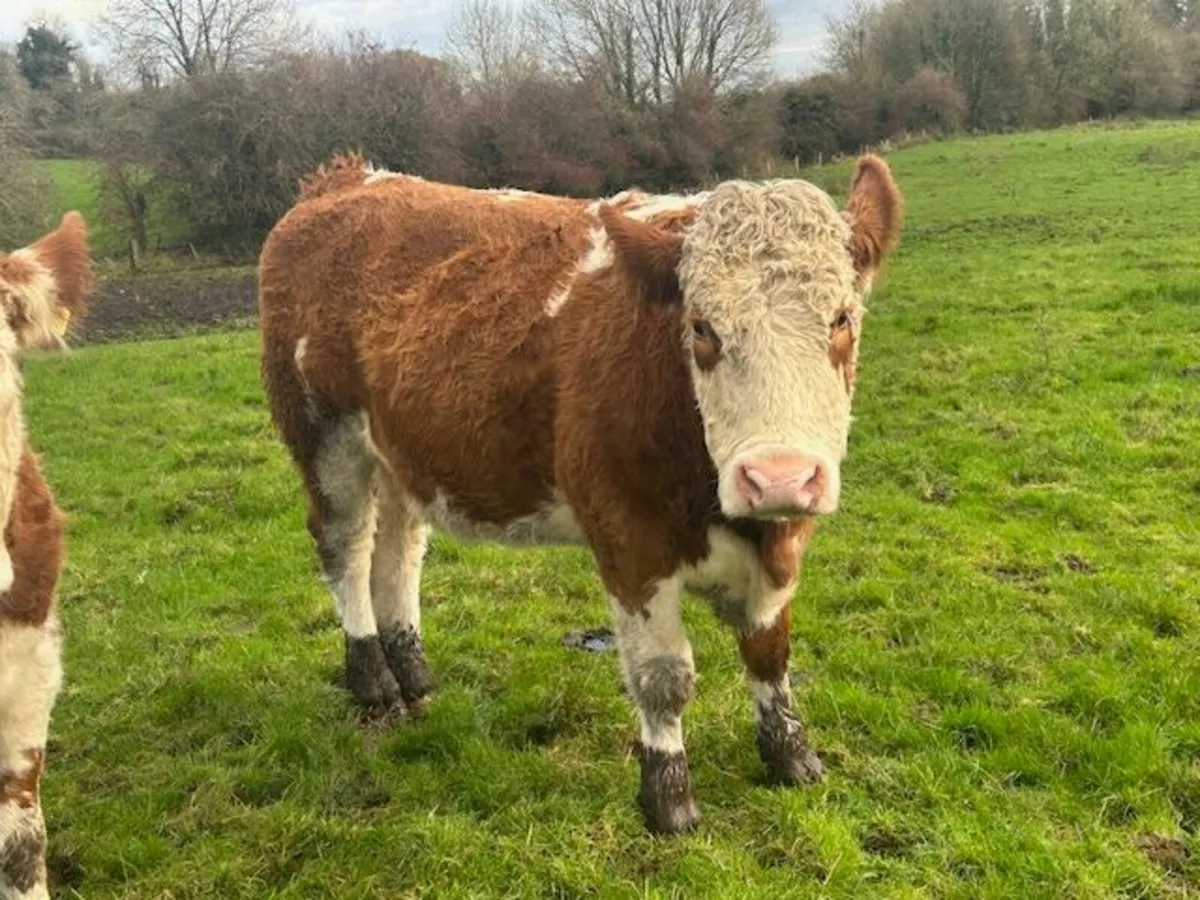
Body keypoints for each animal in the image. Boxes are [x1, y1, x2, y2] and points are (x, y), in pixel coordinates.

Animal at [258, 154, 902, 833]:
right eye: (702, 327)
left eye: (842, 319)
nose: (779, 476)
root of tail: (347, 178)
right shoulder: (629, 542)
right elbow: (664, 677)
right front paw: (668, 796)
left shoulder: (781, 544)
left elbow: (770, 654)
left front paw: (791, 756)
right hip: (326, 440)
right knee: (347, 550)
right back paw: (373, 680)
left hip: (401, 458)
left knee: (398, 555)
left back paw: (414, 676)